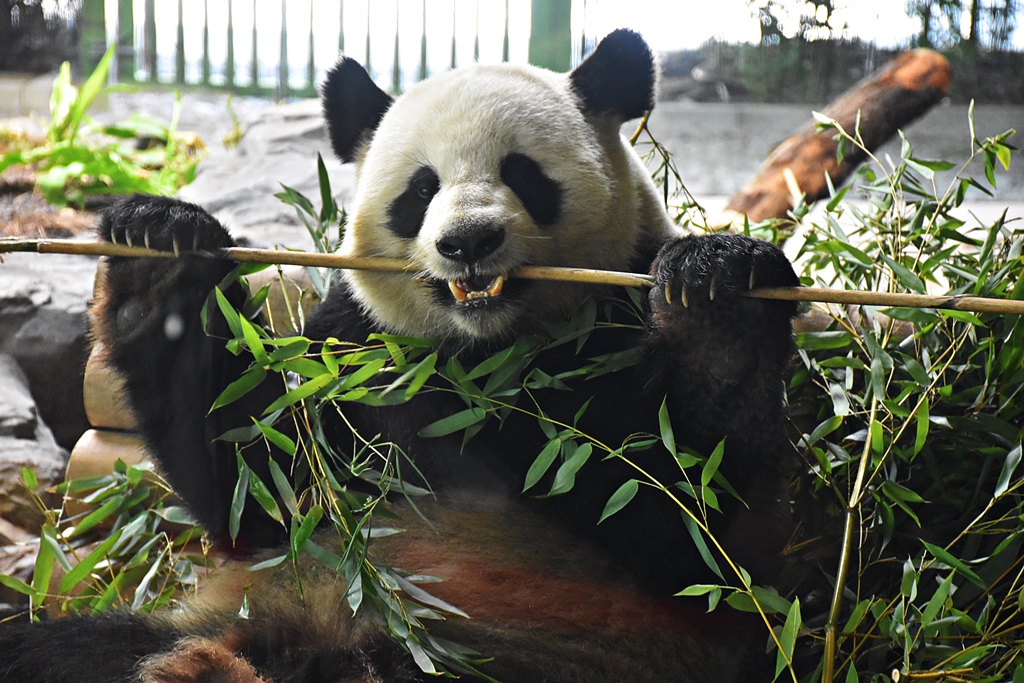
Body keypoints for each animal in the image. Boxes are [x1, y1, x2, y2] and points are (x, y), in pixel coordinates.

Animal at [0, 29, 800, 683]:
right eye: (421, 189)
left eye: (523, 173)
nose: (469, 242)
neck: (485, 352)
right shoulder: (355, 350)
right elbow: (258, 486)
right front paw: (160, 246)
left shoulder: (607, 330)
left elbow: (692, 528)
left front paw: (718, 286)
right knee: (67, 651)